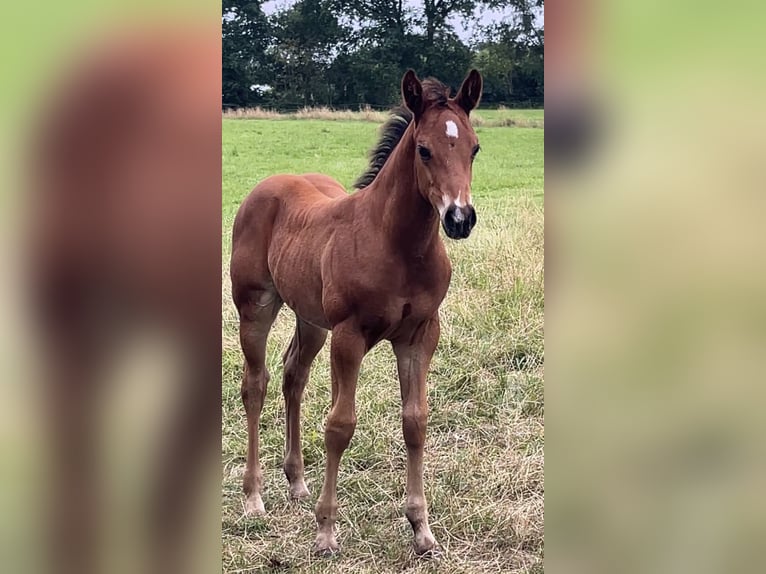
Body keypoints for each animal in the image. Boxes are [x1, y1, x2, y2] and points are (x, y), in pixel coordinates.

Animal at [230, 69, 482, 555]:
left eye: (475, 147)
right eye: (424, 149)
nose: (460, 219)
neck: (397, 245)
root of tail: (266, 186)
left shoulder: (420, 334)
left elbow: (416, 421)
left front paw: (421, 528)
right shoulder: (349, 335)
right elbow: (340, 424)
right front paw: (326, 531)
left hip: (311, 320)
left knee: (293, 376)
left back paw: (297, 483)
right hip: (255, 306)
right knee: (255, 386)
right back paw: (253, 497)